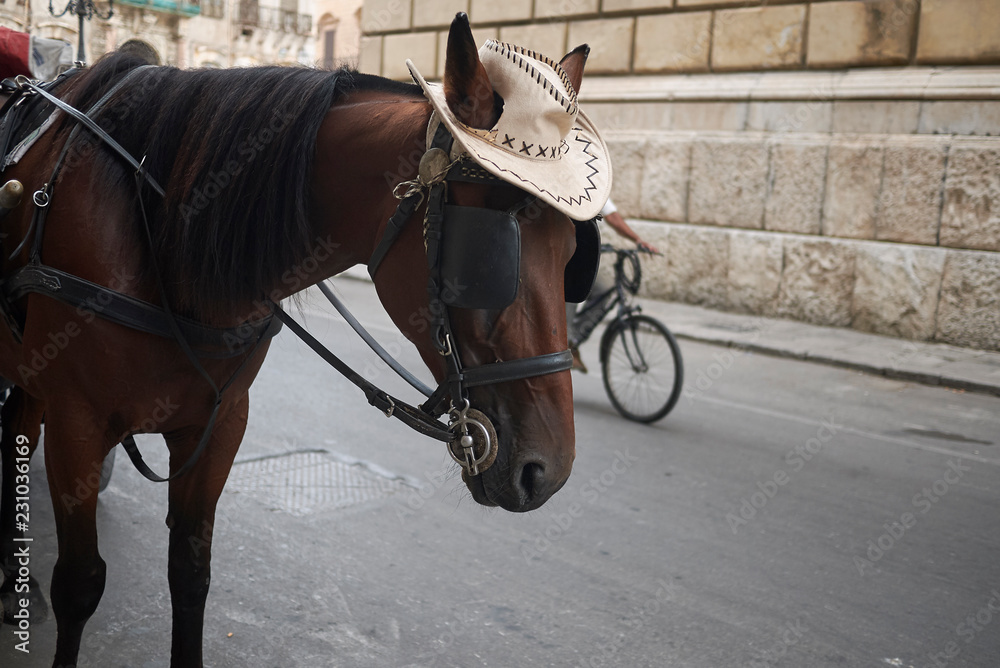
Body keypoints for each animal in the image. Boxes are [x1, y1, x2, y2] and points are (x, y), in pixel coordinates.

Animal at [0, 13, 606, 668]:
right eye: (491, 253)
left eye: (575, 256)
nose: (549, 471)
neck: (160, 232)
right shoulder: (77, 427)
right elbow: (80, 584)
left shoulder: (219, 426)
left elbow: (190, 572)